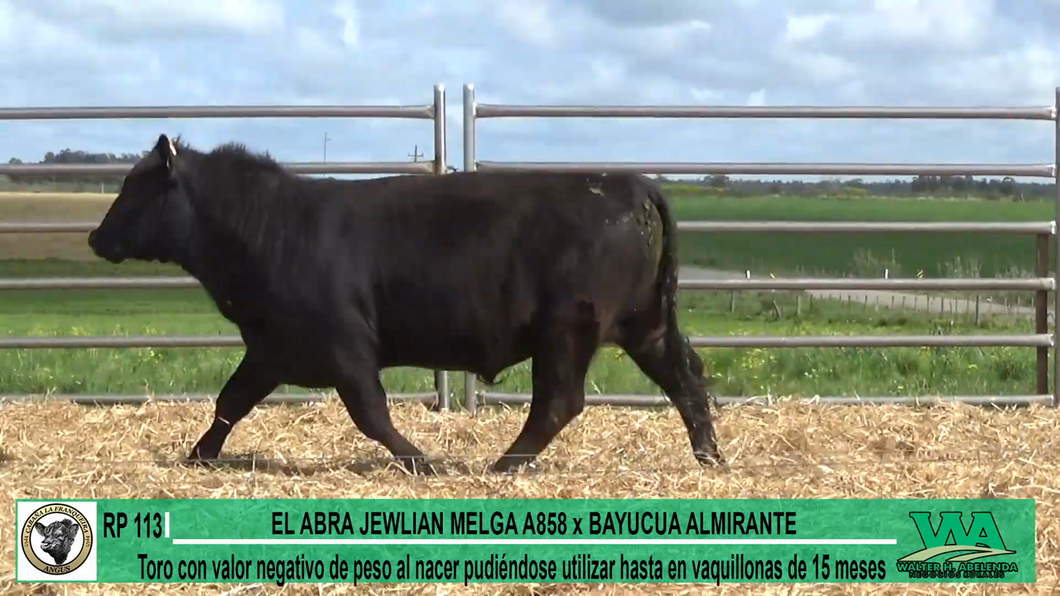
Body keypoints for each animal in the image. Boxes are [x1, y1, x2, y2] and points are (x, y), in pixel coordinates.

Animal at [86, 135, 725, 472]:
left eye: (136, 187)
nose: (95, 237)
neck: (271, 227)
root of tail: (627, 181)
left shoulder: (346, 345)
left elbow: (371, 413)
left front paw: (421, 460)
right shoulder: (270, 348)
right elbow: (231, 401)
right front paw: (199, 454)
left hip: (568, 329)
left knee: (559, 402)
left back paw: (505, 463)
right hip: (645, 325)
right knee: (686, 378)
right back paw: (709, 456)